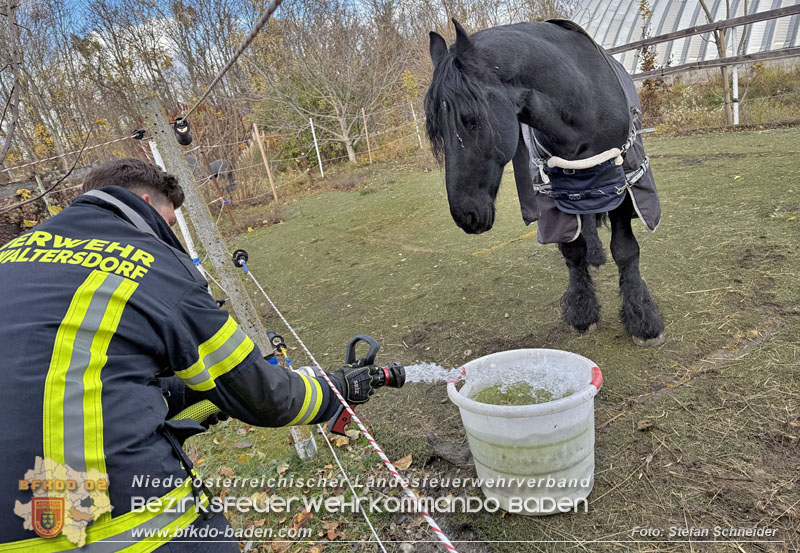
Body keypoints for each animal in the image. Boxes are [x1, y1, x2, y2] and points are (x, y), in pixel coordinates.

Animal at [424, 19, 665, 347]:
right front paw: (582, 312)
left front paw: (642, 321)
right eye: (436, 130)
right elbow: (572, 251)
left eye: (472, 119)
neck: (584, 103)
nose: (466, 216)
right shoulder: (557, 194)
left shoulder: (622, 186)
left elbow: (626, 251)